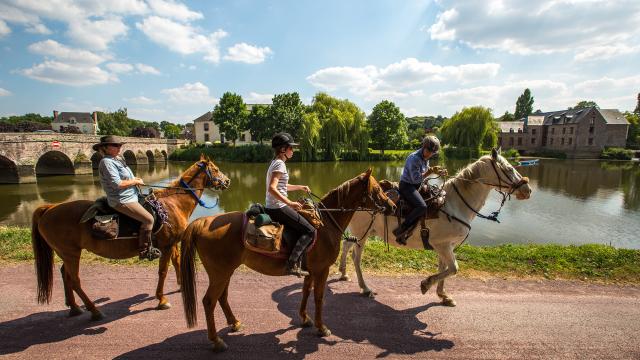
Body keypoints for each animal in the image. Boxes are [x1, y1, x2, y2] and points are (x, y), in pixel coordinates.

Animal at [31, 156, 230, 320]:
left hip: (67, 253)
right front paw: (161, 299)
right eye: (216, 168)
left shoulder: (172, 244)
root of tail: (49, 208)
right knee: (74, 280)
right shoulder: (166, 246)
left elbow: (177, 262)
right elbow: (163, 271)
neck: (173, 203)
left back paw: (74, 307)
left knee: (65, 275)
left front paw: (181, 286)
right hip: (71, 253)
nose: (227, 181)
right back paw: (94, 311)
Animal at [179, 169, 396, 352]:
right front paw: (321, 327)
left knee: (221, 297)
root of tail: (200, 223)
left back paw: (234, 323)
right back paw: (216, 341)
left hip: (225, 272)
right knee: (209, 301)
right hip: (220, 273)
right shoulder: (322, 270)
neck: (325, 224)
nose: (393, 206)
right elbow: (319, 297)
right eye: (378, 189)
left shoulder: (310, 270)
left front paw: (305, 318)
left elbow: (306, 292)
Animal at [342, 150, 532, 306]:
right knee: (356, 257)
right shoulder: (443, 245)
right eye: (508, 169)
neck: (455, 204)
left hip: (363, 233)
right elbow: (453, 268)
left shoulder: (446, 245)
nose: (528, 189)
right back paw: (365, 288)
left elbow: (444, 268)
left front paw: (443, 295)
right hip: (363, 233)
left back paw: (343, 273)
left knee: (346, 245)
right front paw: (426, 284)